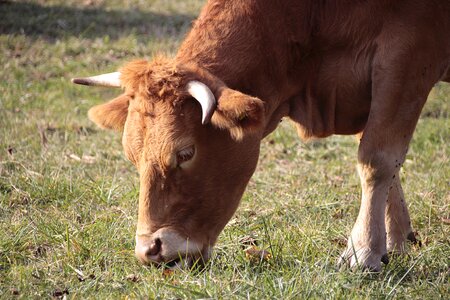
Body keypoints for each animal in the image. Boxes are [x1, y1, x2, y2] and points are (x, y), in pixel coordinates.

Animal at [71, 0, 450, 272]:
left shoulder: (407, 55)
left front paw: (364, 250)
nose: (150, 250)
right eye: (132, 156)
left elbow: (377, 158)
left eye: (185, 153)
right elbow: (388, 162)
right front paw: (395, 241)